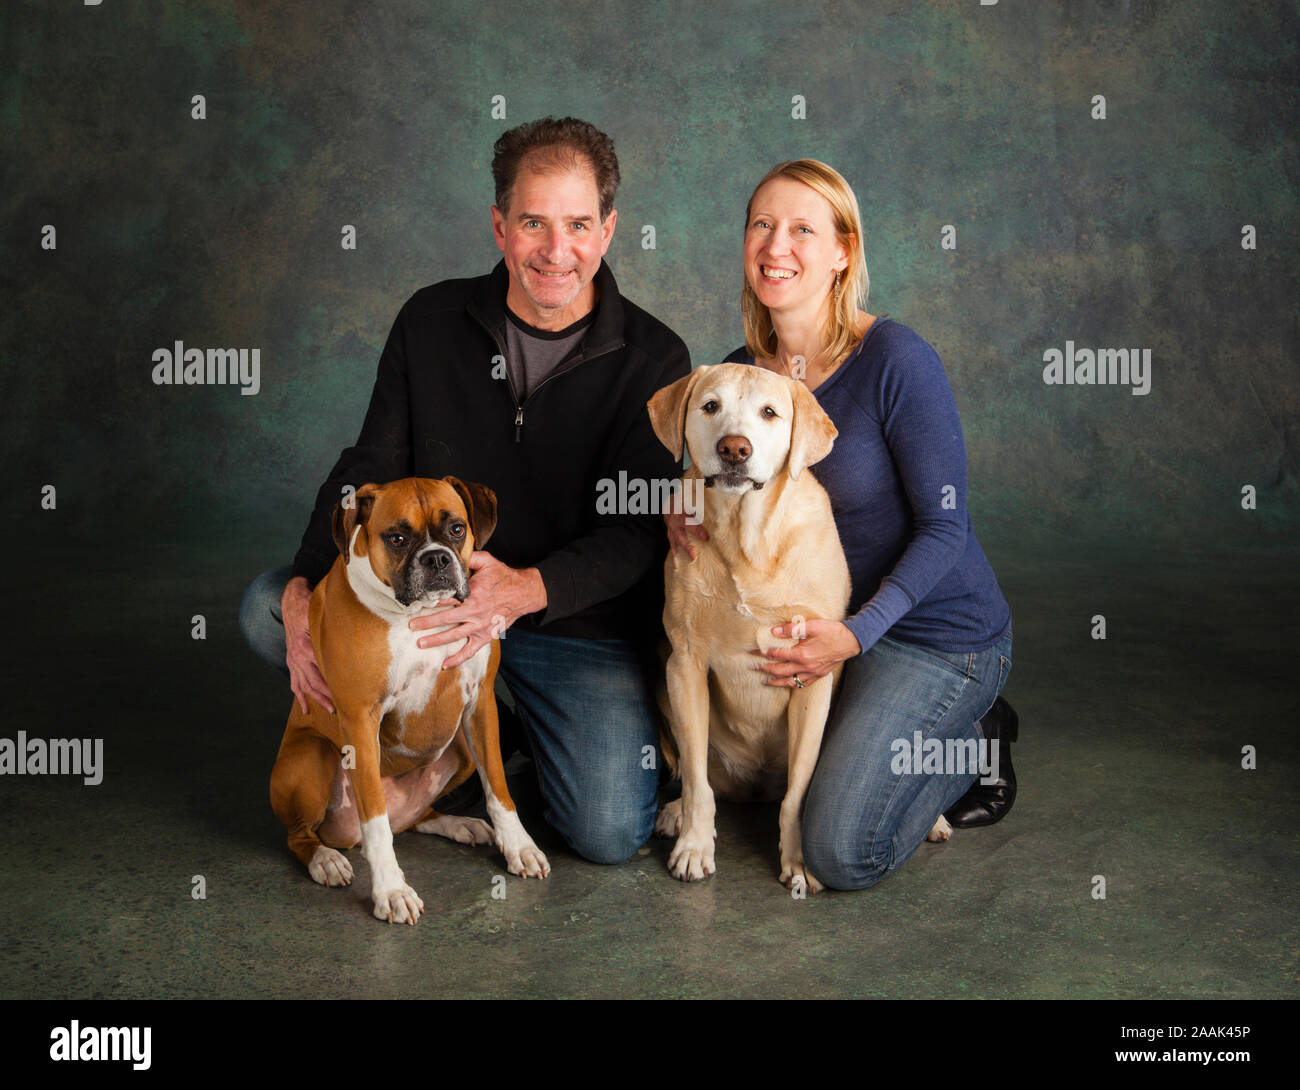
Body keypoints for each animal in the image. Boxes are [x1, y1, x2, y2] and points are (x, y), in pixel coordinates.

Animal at [269, 476, 543, 920]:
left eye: (456, 529)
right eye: (397, 538)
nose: (437, 559)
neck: (418, 615)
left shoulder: (480, 703)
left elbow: (499, 788)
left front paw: (519, 846)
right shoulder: (360, 719)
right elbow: (376, 821)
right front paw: (391, 891)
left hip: (461, 747)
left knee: (413, 819)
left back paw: (458, 823)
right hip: (314, 757)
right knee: (305, 835)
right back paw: (325, 860)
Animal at [644, 366, 847, 894]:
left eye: (769, 413)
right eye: (710, 406)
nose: (735, 448)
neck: (744, 538)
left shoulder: (813, 674)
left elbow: (798, 791)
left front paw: (799, 862)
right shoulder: (684, 665)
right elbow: (697, 779)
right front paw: (695, 846)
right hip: (662, 685)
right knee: (701, 776)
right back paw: (675, 812)